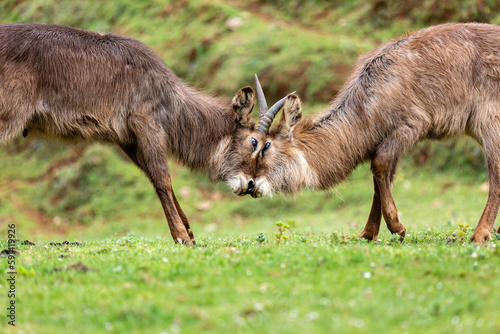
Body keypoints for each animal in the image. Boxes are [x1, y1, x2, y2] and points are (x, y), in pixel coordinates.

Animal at [0, 22, 290, 243]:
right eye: (254, 142)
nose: (251, 185)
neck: (171, 101)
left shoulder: (127, 139)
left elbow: (158, 179)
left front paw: (190, 232)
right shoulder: (146, 124)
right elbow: (162, 179)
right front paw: (181, 237)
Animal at [235, 22, 500, 243]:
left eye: (265, 145)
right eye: (252, 144)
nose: (250, 186)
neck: (368, 98)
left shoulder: (410, 126)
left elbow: (379, 165)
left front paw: (397, 227)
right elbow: (379, 179)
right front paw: (368, 233)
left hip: (489, 122)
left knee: (495, 170)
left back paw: (480, 233)